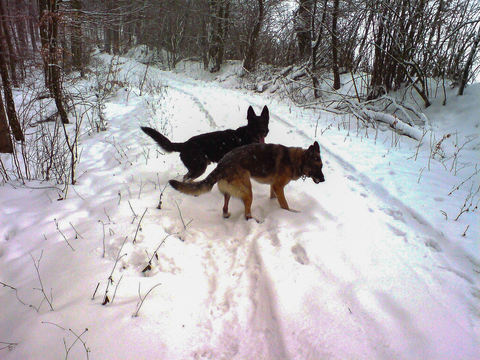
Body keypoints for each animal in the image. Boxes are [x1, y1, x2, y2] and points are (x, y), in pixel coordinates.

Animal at [142, 105, 270, 181]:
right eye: (255, 124)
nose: (264, 131)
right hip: (199, 168)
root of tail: (185, 144)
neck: (247, 136)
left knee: (186, 177)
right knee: (187, 179)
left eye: (264, 123)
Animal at [168, 141, 322, 219]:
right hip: (248, 191)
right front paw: (290, 213)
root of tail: (221, 165)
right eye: (316, 166)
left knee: (225, 206)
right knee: (247, 214)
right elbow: (284, 205)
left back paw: (226, 214)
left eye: (321, 166)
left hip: (231, 190)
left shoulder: (274, 186)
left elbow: (273, 197)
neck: (295, 160)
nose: (323, 179)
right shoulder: (278, 187)